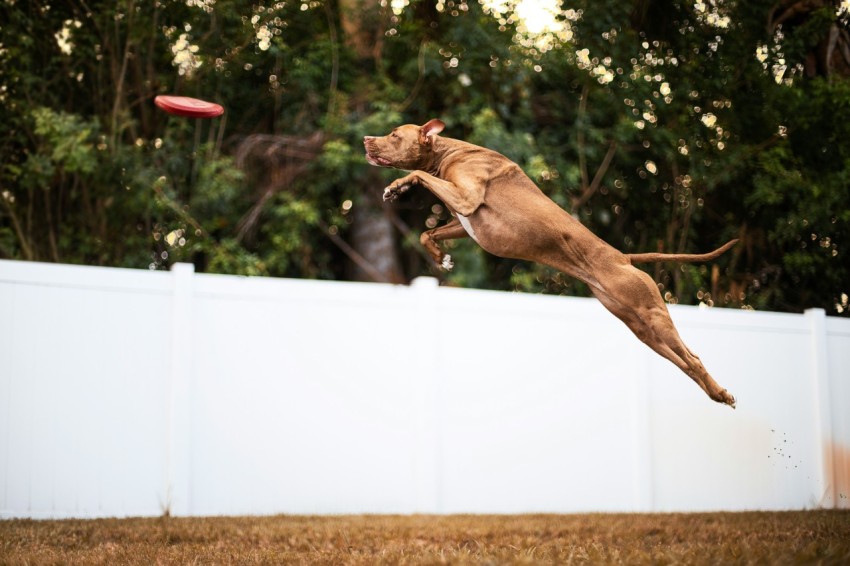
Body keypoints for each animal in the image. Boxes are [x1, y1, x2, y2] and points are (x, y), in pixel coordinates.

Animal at [362, 118, 732, 408]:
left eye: (394, 134)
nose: (366, 139)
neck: (448, 152)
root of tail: (622, 257)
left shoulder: (466, 200)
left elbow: (419, 175)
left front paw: (399, 183)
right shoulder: (463, 221)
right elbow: (429, 233)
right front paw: (440, 256)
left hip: (652, 314)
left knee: (692, 358)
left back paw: (722, 393)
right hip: (639, 328)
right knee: (684, 362)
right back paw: (717, 394)